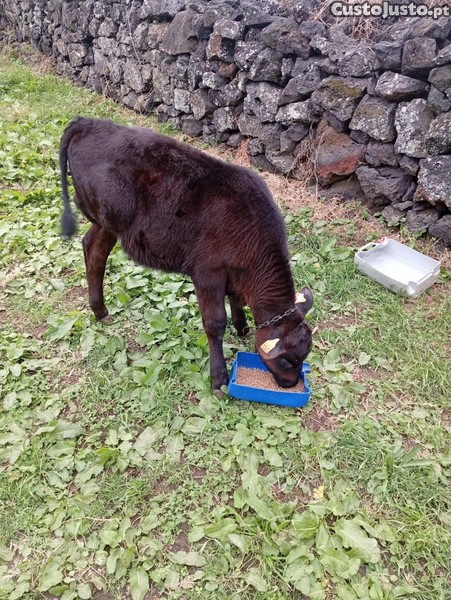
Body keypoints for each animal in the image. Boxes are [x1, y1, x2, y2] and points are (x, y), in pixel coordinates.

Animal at [59, 117, 313, 394]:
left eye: (304, 357)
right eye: (287, 361)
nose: (290, 385)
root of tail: (88, 122)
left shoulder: (233, 272)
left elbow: (236, 300)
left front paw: (243, 327)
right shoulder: (207, 273)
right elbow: (215, 323)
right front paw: (219, 379)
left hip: (107, 224)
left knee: (92, 249)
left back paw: (100, 311)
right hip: (109, 219)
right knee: (95, 251)